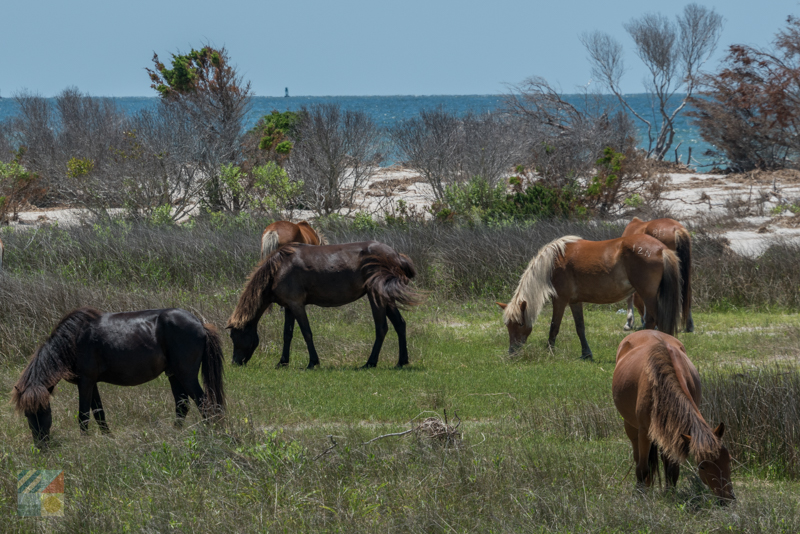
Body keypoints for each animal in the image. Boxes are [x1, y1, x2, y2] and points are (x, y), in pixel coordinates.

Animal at [10, 308, 225, 450]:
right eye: (27, 415)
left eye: (43, 411)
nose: (41, 447)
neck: (71, 341)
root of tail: (200, 324)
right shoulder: (92, 383)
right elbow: (99, 413)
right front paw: (108, 438)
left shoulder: (85, 381)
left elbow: (83, 415)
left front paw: (84, 444)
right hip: (173, 375)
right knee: (182, 405)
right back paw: (174, 435)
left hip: (186, 375)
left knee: (204, 404)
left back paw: (208, 435)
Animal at [227, 242, 422, 368]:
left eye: (234, 336)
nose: (235, 362)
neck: (278, 269)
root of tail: (396, 255)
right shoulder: (289, 307)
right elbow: (287, 335)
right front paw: (283, 362)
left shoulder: (297, 305)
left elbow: (306, 333)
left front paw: (313, 362)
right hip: (386, 297)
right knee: (400, 324)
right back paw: (401, 361)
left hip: (376, 296)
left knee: (381, 328)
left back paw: (370, 362)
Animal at [500, 234, 680, 360]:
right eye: (508, 325)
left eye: (520, 323)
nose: (512, 353)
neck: (553, 261)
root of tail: (661, 249)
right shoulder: (575, 302)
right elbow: (580, 327)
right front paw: (586, 354)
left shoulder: (560, 300)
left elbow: (554, 327)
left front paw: (549, 352)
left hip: (647, 295)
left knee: (654, 320)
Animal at [612, 330, 736, 502]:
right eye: (702, 466)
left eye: (729, 459)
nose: (727, 499)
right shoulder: (644, 432)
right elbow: (643, 468)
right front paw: (641, 495)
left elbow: (672, 470)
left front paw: (670, 494)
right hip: (631, 427)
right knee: (639, 460)